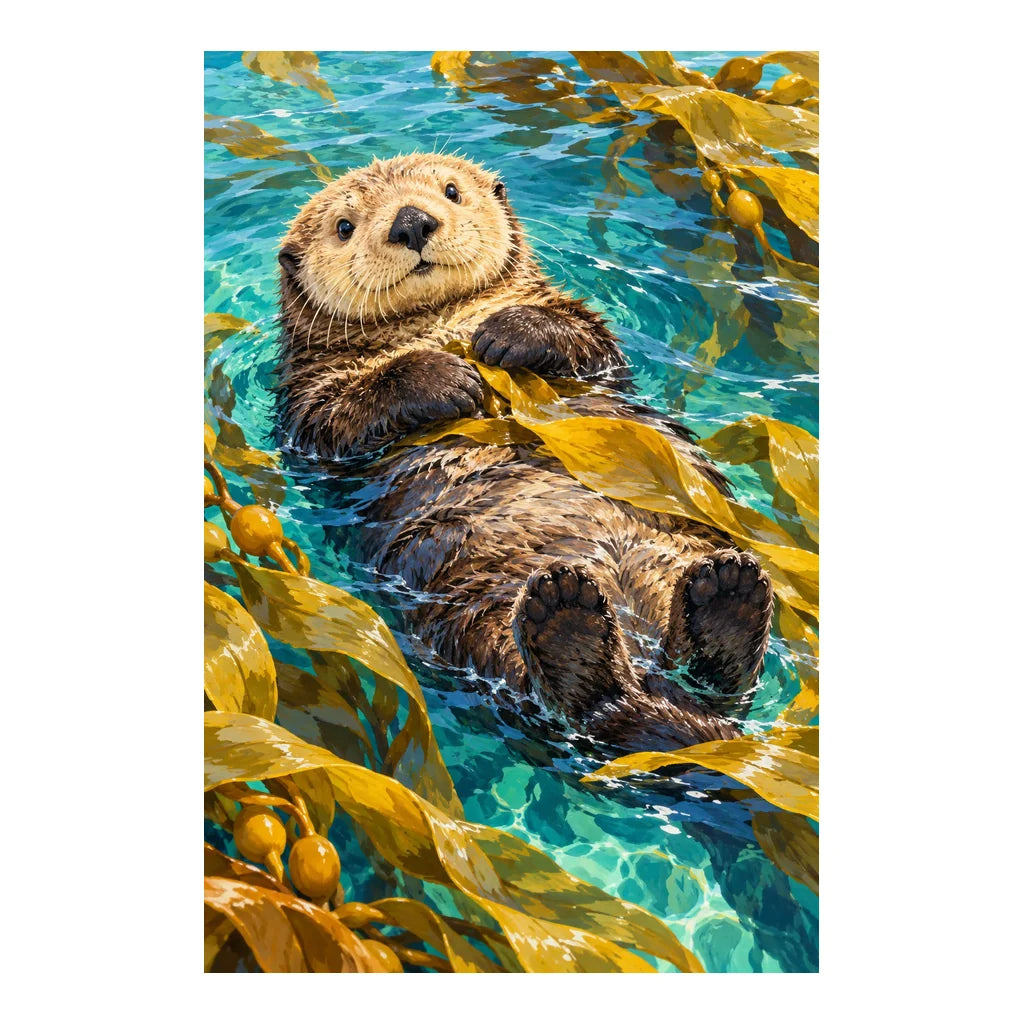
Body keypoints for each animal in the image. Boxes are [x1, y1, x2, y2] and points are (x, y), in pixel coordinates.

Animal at [273, 153, 774, 753]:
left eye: (451, 191)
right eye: (345, 226)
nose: (412, 222)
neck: (441, 321)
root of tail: (641, 657)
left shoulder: (586, 336)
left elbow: (587, 341)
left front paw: (506, 334)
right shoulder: (306, 402)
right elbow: (338, 417)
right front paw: (445, 377)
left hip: (676, 554)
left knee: (720, 683)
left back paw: (725, 601)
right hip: (472, 614)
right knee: (559, 689)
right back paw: (573, 622)